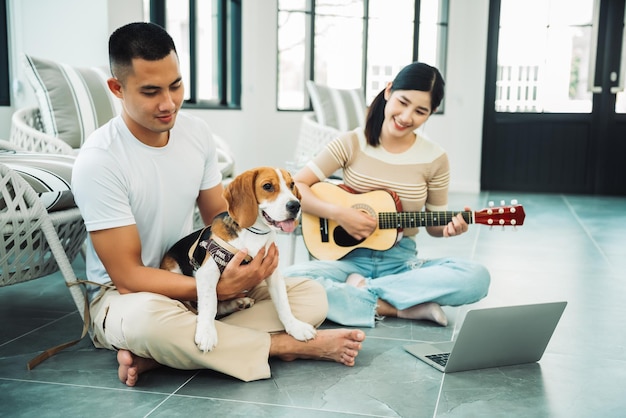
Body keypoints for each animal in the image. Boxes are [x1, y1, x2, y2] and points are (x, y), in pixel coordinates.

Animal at [161, 165, 316, 352]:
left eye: (292, 184)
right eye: (268, 186)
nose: (296, 205)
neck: (254, 234)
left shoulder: (273, 273)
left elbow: (283, 303)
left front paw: (295, 327)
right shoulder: (207, 272)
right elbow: (209, 304)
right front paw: (206, 332)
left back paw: (239, 302)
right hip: (173, 269)